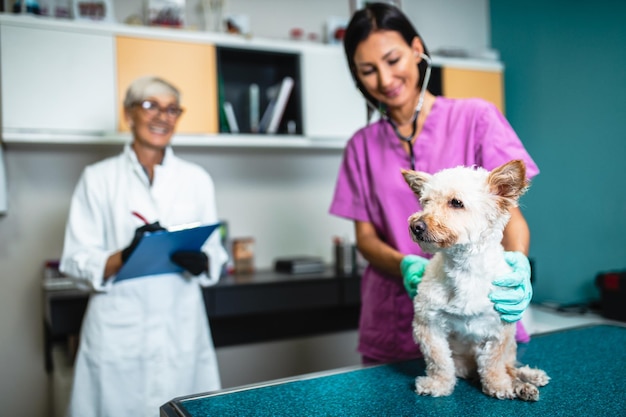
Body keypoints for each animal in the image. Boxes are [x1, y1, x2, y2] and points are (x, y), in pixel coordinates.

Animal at [400, 158, 544, 400]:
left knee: (509, 366)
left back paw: (527, 380)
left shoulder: (501, 328)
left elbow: (494, 363)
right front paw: (439, 384)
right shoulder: (428, 324)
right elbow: (439, 361)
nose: (416, 226)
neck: (464, 270)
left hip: (510, 347)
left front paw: (498, 386)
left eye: (456, 203)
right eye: (425, 202)